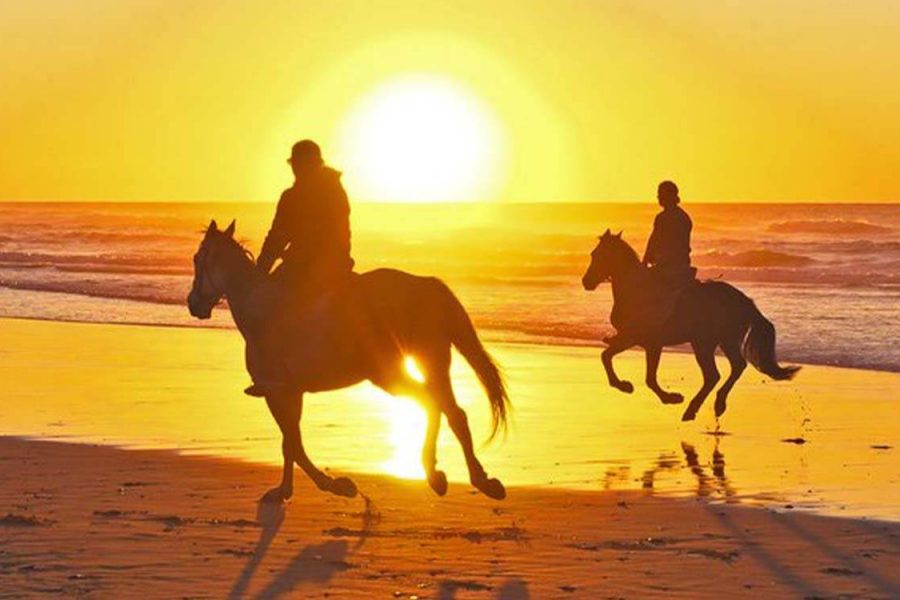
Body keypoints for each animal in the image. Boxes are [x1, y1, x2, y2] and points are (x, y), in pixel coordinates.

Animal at [187, 220, 509, 502]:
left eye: (196, 259)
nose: (193, 304)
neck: (260, 308)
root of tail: (425, 286)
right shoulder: (291, 392)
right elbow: (291, 444)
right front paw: (288, 490)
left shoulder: (277, 392)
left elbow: (292, 444)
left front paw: (333, 485)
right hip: (431, 361)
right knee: (454, 412)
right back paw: (481, 481)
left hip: (389, 373)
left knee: (433, 404)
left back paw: (435, 474)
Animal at [581, 229, 799, 421]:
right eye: (593, 254)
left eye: (600, 255)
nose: (586, 282)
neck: (637, 290)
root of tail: (745, 301)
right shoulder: (650, 344)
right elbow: (641, 373)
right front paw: (666, 396)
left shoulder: (635, 338)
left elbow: (611, 359)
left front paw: (631, 387)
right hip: (721, 341)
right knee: (734, 367)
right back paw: (716, 405)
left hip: (705, 343)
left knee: (714, 375)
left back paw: (695, 409)